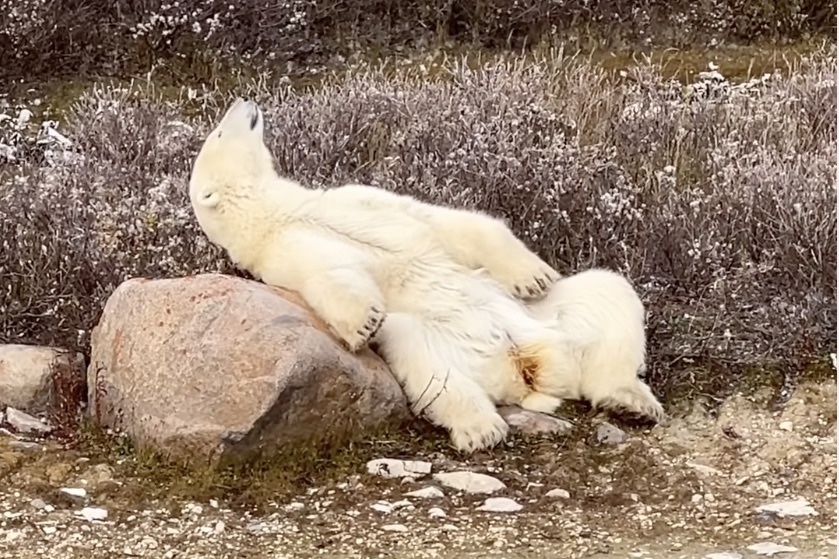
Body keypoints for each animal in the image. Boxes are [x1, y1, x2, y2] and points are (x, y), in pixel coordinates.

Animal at [188, 97, 665, 452]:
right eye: (218, 133)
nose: (244, 100)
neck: (279, 210)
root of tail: (525, 372)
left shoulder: (357, 199)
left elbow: (445, 223)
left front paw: (533, 275)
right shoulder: (281, 250)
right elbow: (328, 274)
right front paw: (363, 322)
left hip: (549, 319)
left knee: (611, 292)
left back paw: (630, 401)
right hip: (441, 341)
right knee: (423, 358)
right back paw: (481, 429)